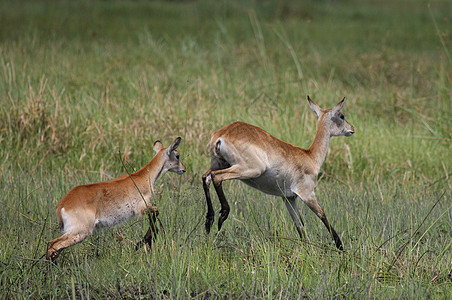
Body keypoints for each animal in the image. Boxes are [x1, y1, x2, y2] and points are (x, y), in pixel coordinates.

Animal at [46, 137, 185, 262]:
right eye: (177, 155)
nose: (183, 169)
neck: (143, 178)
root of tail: (62, 205)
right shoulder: (141, 208)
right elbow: (156, 210)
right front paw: (143, 241)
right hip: (80, 232)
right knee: (53, 245)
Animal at [201, 97, 354, 250]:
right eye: (342, 116)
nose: (352, 128)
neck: (310, 157)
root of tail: (221, 134)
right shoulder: (307, 194)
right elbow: (322, 215)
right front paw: (340, 247)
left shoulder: (289, 198)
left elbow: (300, 226)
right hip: (249, 170)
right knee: (217, 177)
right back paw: (222, 216)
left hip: (218, 164)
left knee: (205, 177)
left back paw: (209, 221)